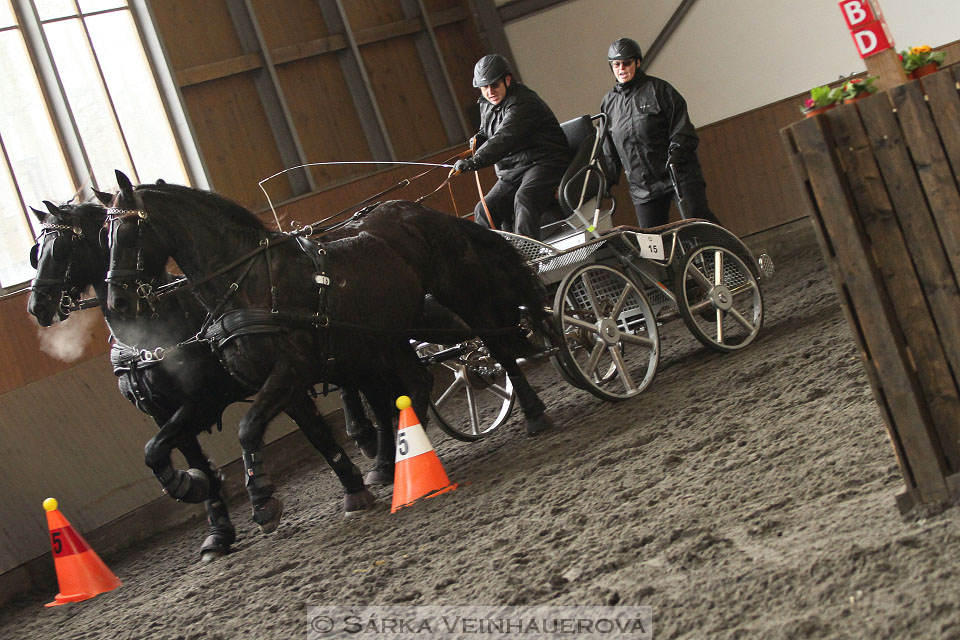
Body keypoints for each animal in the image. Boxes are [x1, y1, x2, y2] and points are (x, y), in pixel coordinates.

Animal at [27, 199, 378, 556]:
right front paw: (211, 515)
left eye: (60, 249)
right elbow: (161, 453)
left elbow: (313, 432)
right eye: (36, 253)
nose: (37, 306)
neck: (152, 330)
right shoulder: (163, 412)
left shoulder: (207, 401)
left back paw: (369, 445)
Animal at [105, 171, 560, 536]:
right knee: (416, 382)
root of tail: (425, 212)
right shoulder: (267, 384)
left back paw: (534, 413)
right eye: (105, 237)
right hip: (389, 332)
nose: (118, 303)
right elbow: (159, 448)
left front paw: (263, 500)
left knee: (500, 347)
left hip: (459, 293)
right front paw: (190, 483)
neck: (249, 282)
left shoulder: (289, 370)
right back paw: (400, 458)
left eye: (125, 234)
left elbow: (248, 430)